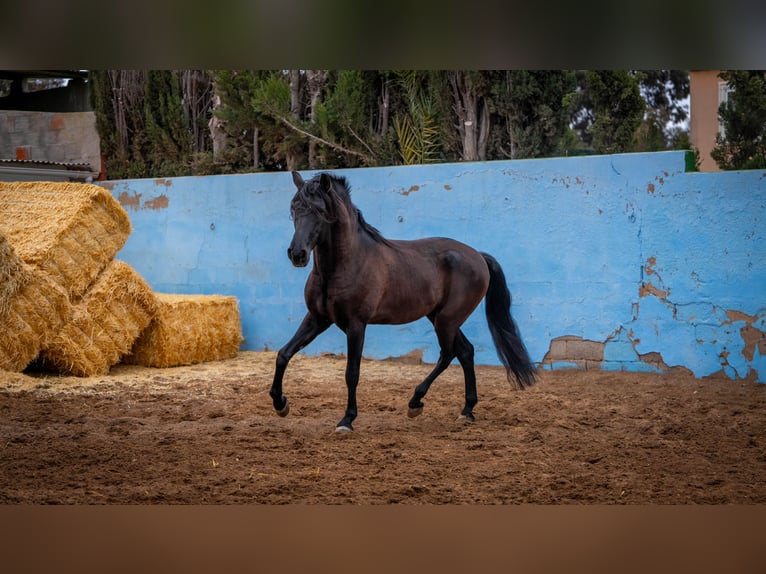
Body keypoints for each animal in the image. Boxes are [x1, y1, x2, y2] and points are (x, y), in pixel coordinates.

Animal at [272, 171, 540, 432]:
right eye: (294, 208)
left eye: (319, 210)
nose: (297, 254)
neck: (344, 264)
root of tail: (479, 257)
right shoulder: (317, 319)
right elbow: (284, 354)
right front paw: (280, 403)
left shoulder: (356, 325)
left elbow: (352, 373)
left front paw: (347, 420)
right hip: (441, 317)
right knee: (465, 351)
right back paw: (466, 411)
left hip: (447, 320)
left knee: (449, 353)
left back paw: (416, 402)